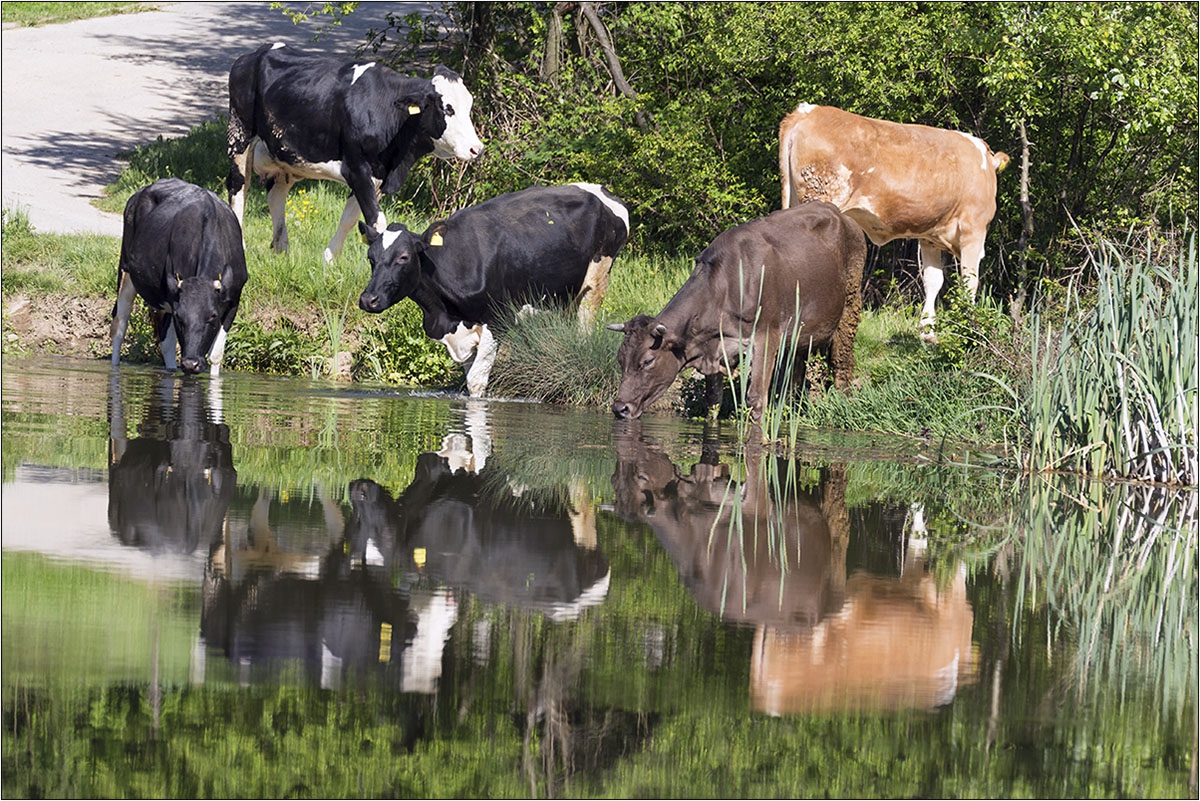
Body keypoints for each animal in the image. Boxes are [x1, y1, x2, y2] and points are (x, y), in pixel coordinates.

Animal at [111, 178, 248, 376]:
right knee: (119, 327)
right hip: (125, 270)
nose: (191, 363)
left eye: (213, 316)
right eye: (180, 317)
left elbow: (216, 355)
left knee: (165, 342)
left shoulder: (233, 301)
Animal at [229, 42, 482, 261]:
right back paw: (241, 245)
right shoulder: (357, 168)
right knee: (238, 189)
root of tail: (253, 54)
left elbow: (349, 218)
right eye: (447, 109)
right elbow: (377, 222)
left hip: (285, 157)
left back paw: (282, 250)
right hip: (239, 134)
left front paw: (329, 260)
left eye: (469, 106)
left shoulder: (376, 176)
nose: (477, 149)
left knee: (276, 196)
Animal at [352, 181, 628, 393]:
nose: (368, 299)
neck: (443, 312)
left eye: (404, 257)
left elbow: (476, 382)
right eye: (370, 257)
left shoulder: (498, 320)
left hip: (596, 281)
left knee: (585, 328)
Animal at [609, 200, 864, 422]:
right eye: (620, 359)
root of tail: (842, 215)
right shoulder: (714, 345)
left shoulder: (767, 337)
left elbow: (756, 398)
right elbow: (713, 400)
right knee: (795, 377)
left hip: (849, 309)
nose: (619, 408)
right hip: (799, 335)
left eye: (647, 361)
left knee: (842, 364)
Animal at [777, 103, 1003, 340]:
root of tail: (808, 111)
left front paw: (928, 332)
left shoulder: (929, 237)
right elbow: (970, 282)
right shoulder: (974, 230)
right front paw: (970, 331)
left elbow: (933, 280)